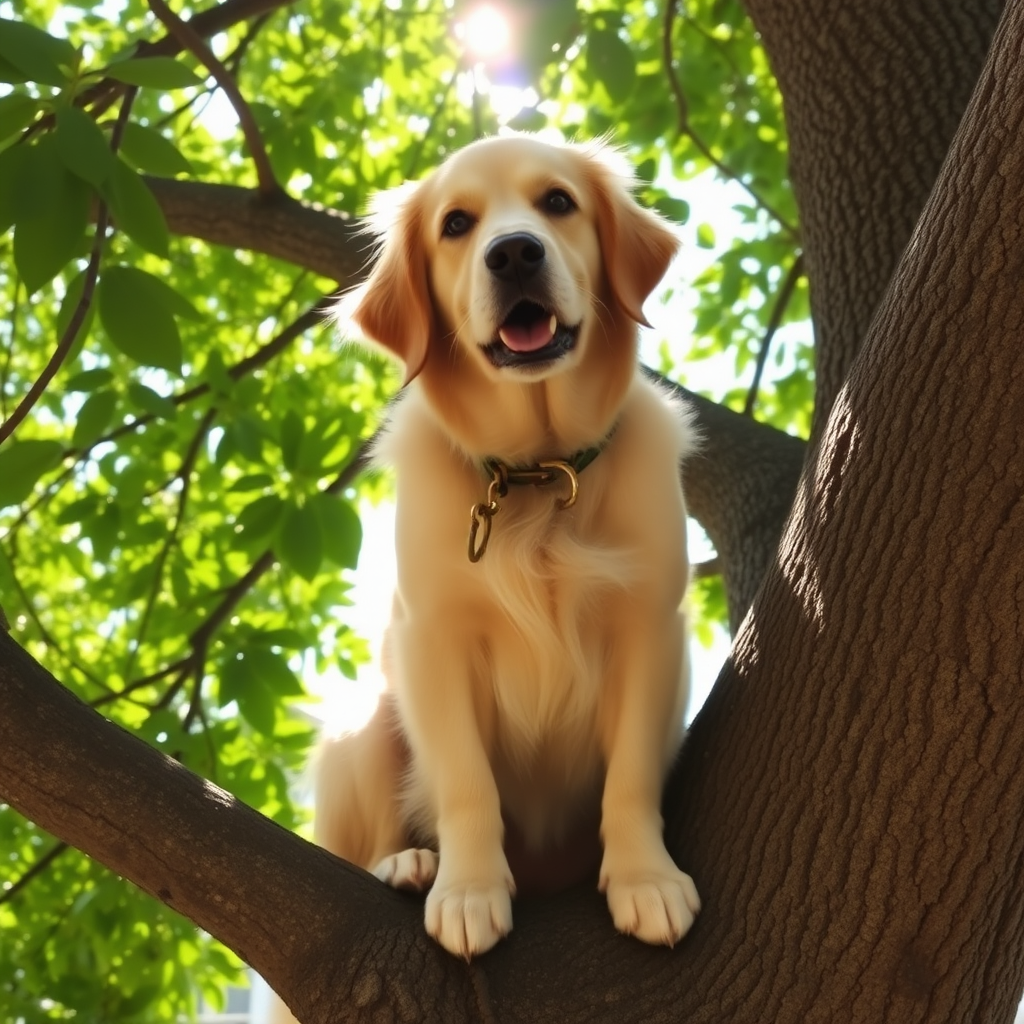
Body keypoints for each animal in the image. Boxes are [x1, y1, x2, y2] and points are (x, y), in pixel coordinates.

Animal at [305, 136, 696, 966]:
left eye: (558, 202)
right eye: (456, 223)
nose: (514, 253)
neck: (536, 477)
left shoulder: (648, 626)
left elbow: (631, 778)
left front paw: (645, 879)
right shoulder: (432, 637)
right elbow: (465, 781)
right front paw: (468, 892)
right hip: (364, 724)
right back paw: (409, 864)